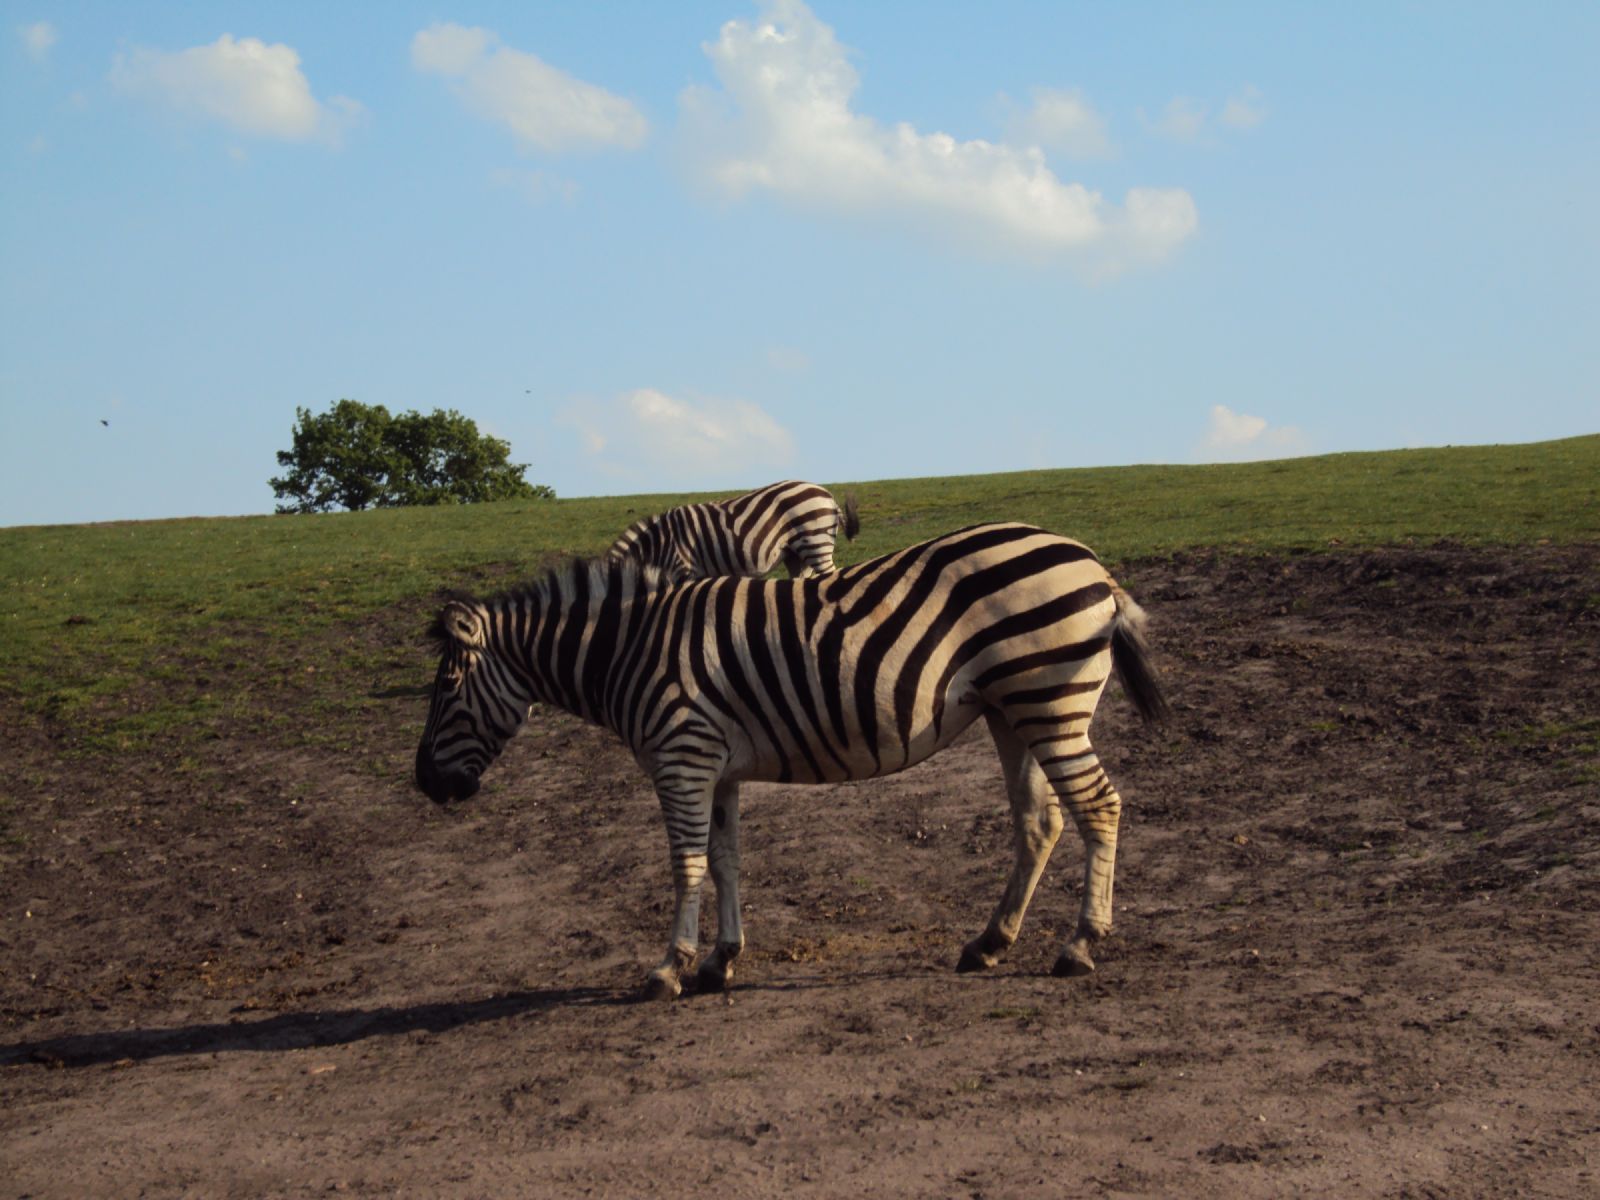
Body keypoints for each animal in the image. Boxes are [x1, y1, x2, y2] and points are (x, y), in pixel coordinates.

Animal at [412, 521, 1171, 998]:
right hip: (1012, 712)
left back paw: (1080, 945)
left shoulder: (681, 757)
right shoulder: (714, 768)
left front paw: (669, 968)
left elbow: (685, 865)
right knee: (1039, 822)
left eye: (445, 689)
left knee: (1098, 807)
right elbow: (724, 861)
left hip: (1048, 702)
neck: (629, 649)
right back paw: (989, 942)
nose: (423, 783)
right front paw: (721, 961)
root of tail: (1093, 564)